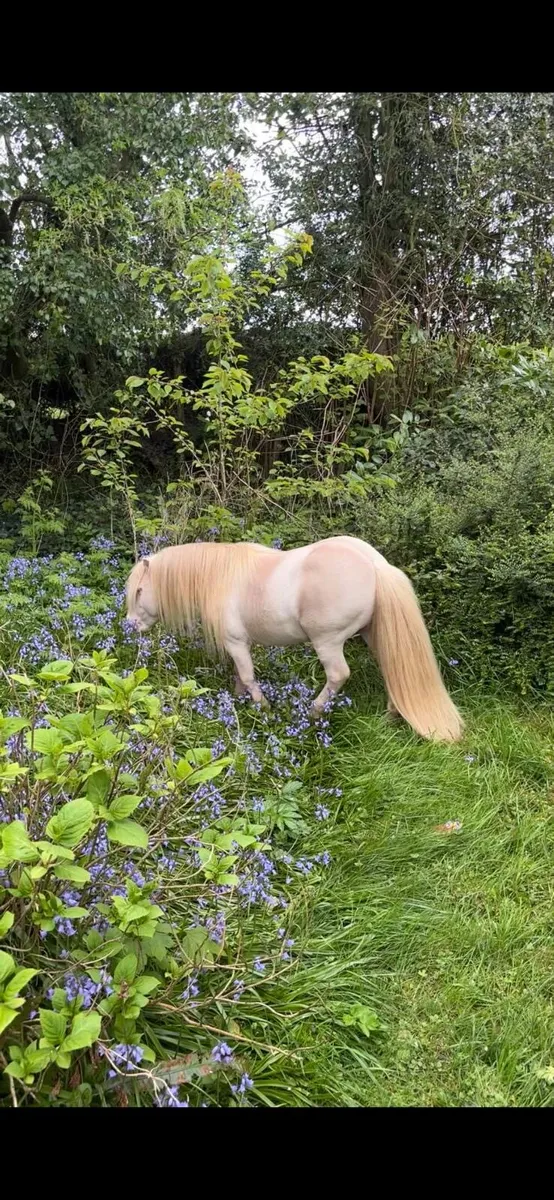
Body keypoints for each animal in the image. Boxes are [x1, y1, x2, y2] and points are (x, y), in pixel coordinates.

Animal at [125, 535, 463, 742]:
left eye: (140, 591)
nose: (130, 627)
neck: (222, 576)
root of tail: (376, 565)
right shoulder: (240, 645)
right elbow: (239, 678)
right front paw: (236, 704)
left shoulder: (236, 643)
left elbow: (248, 678)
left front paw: (264, 710)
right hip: (374, 635)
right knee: (392, 667)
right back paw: (391, 716)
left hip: (327, 642)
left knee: (338, 675)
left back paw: (313, 713)